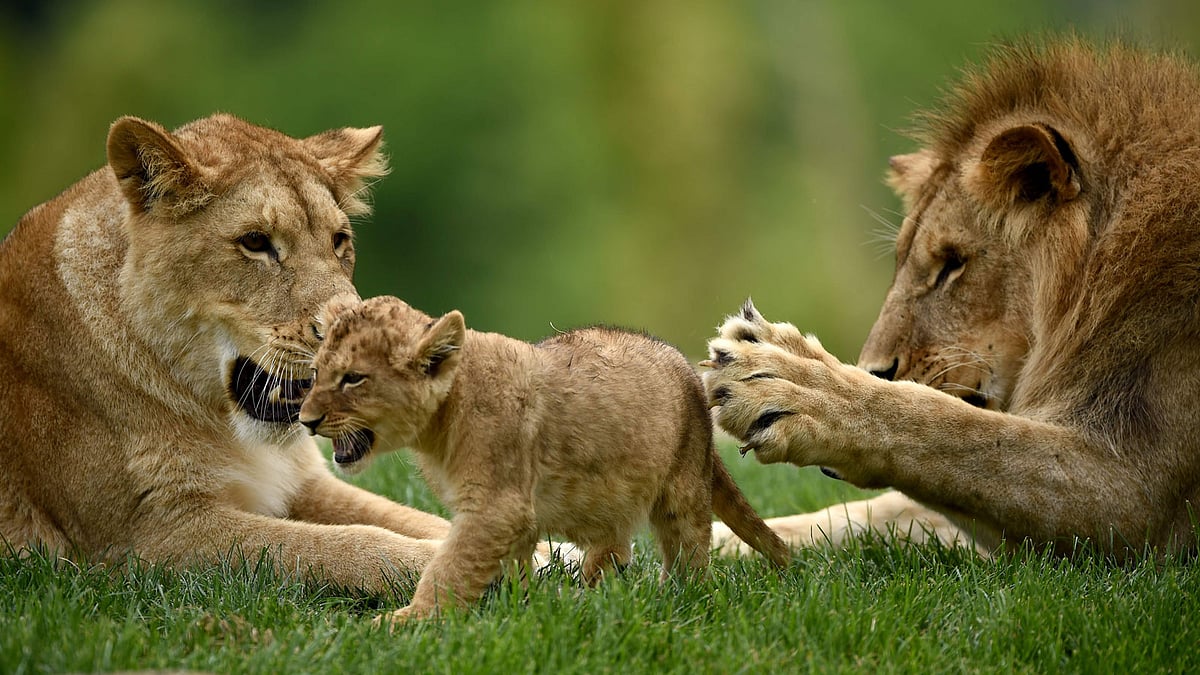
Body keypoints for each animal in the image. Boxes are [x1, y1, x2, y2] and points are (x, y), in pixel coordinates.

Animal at [0, 113, 455, 591]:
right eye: (255, 242)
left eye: (338, 240)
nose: (349, 336)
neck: (224, 423)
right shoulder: (142, 541)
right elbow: (330, 546)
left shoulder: (303, 482)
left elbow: (418, 519)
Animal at [298, 295, 790, 621]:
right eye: (317, 373)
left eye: (353, 379)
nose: (305, 420)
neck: (441, 421)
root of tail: (688, 370)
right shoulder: (514, 513)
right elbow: (511, 564)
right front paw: (520, 606)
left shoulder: (495, 507)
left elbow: (449, 568)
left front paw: (406, 622)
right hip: (607, 496)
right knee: (616, 543)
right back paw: (593, 590)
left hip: (682, 482)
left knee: (689, 545)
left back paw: (676, 595)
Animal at [707, 39, 1200, 560]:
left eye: (951, 264)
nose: (875, 370)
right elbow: (880, 509)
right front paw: (723, 537)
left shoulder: (1136, 495)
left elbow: (953, 433)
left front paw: (795, 382)